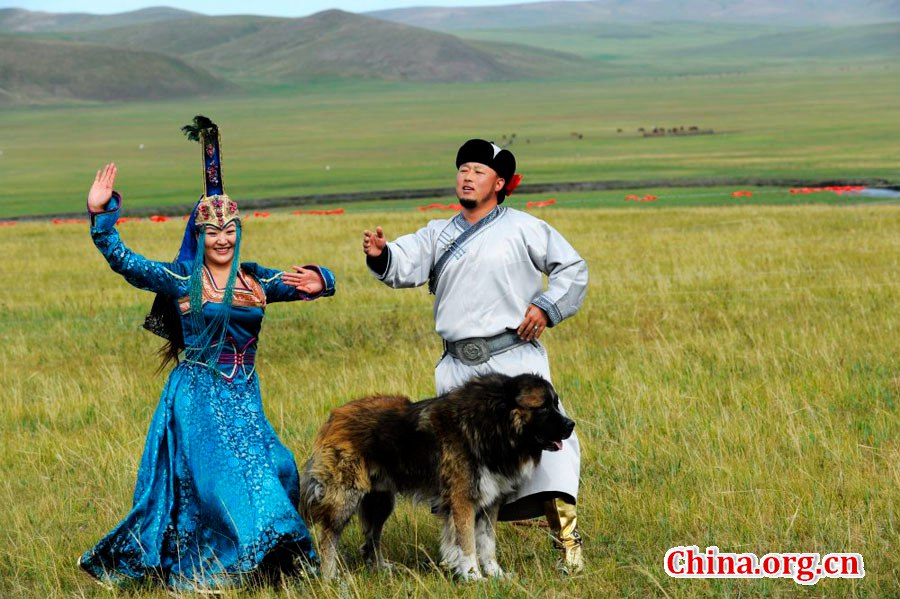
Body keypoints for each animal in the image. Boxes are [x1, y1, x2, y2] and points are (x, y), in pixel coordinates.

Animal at [298, 376, 572, 580]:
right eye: (543, 407)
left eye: (556, 403)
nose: (571, 425)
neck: (490, 424)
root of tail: (334, 417)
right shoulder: (462, 501)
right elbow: (467, 544)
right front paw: (474, 577)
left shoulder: (490, 503)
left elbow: (487, 543)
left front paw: (496, 575)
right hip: (346, 498)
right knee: (327, 538)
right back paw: (330, 577)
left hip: (381, 502)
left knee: (371, 538)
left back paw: (381, 569)